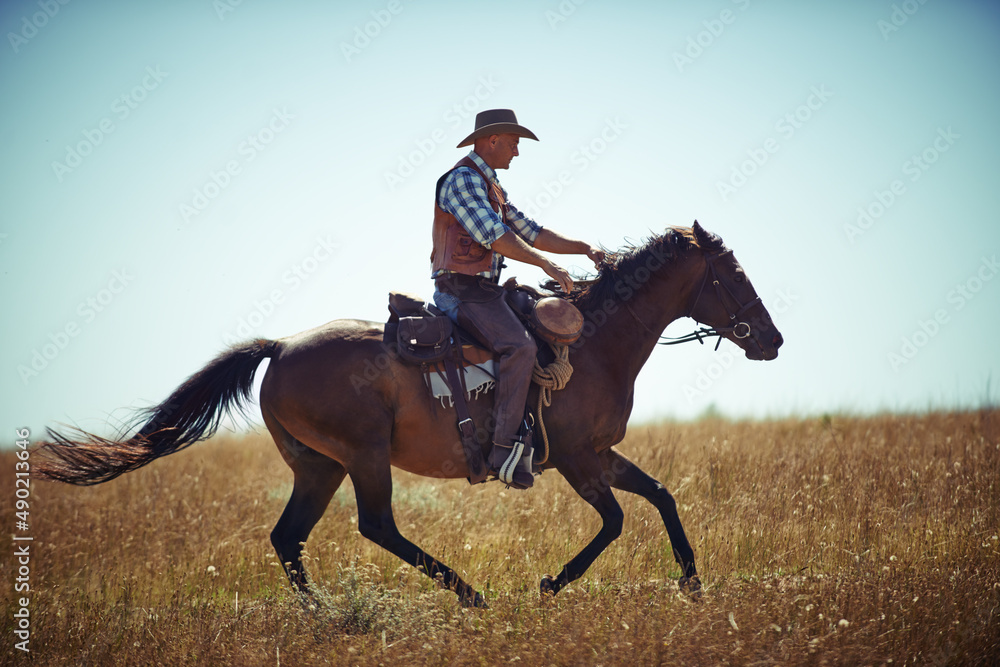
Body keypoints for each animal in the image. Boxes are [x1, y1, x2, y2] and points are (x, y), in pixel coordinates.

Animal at [37, 222, 780, 608]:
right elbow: (619, 520)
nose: (772, 340)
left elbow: (661, 496)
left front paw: (692, 581)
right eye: (733, 276)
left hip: (318, 466)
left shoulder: (599, 453)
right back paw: (468, 593)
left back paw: (321, 615)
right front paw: (550, 582)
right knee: (377, 525)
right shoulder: (575, 459)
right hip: (362, 456)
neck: (592, 342)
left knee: (288, 537)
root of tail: (281, 347)